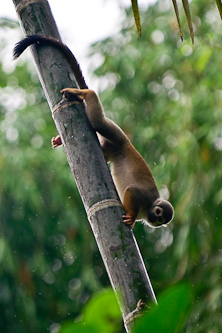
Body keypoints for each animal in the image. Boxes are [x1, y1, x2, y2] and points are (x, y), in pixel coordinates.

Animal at [13, 34, 175, 228]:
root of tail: (128, 144)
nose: (155, 219)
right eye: (158, 213)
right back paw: (87, 93)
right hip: (118, 136)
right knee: (98, 123)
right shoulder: (145, 196)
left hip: (113, 147)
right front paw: (131, 216)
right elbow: (132, 190)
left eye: (160, 219)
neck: (148, 207)